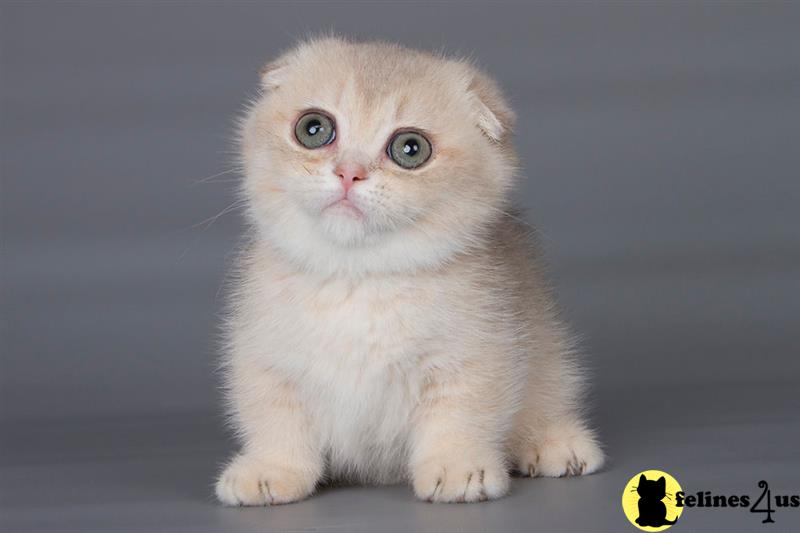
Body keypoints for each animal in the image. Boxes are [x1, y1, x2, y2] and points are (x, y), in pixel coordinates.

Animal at [216, 36, 604, 502]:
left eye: (410, 149)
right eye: (313, 129)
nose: (349, 172)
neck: (358, 279)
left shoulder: (476, 352)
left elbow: (461, 412)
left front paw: (456, 467)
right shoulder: (265, 355)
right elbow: (274, 415)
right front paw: (272, 469)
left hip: (548, 348)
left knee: (550, 393)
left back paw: (556, 443)